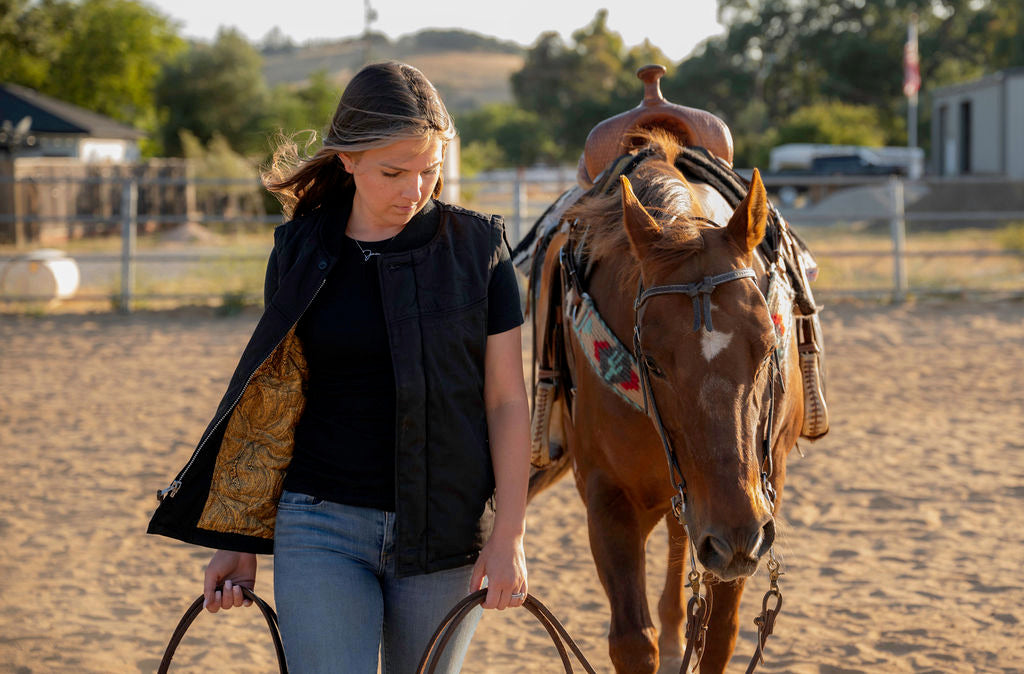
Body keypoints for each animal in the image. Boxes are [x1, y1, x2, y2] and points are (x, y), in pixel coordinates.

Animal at [528, 128, 806, 667]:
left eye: (767, 348)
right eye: (652, 361)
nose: (736, 531)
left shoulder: (759, 500)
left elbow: (721, 633)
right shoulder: (606, 494)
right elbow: (633, 641)